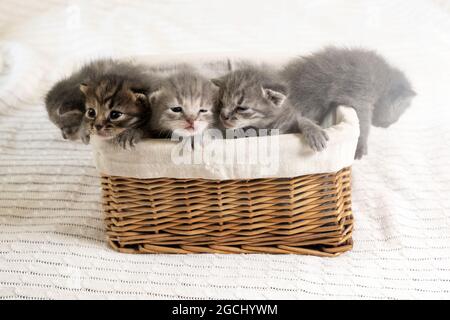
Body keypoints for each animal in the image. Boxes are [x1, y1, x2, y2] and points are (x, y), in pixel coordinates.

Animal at [282, 46, 414, 159]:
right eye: (401, 112)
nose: (390, 125)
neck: (381, 78)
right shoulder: (361, 91)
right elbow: (363, 123)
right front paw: (360, 147)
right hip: (309, 98)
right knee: (299, 118)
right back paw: (314, 133)